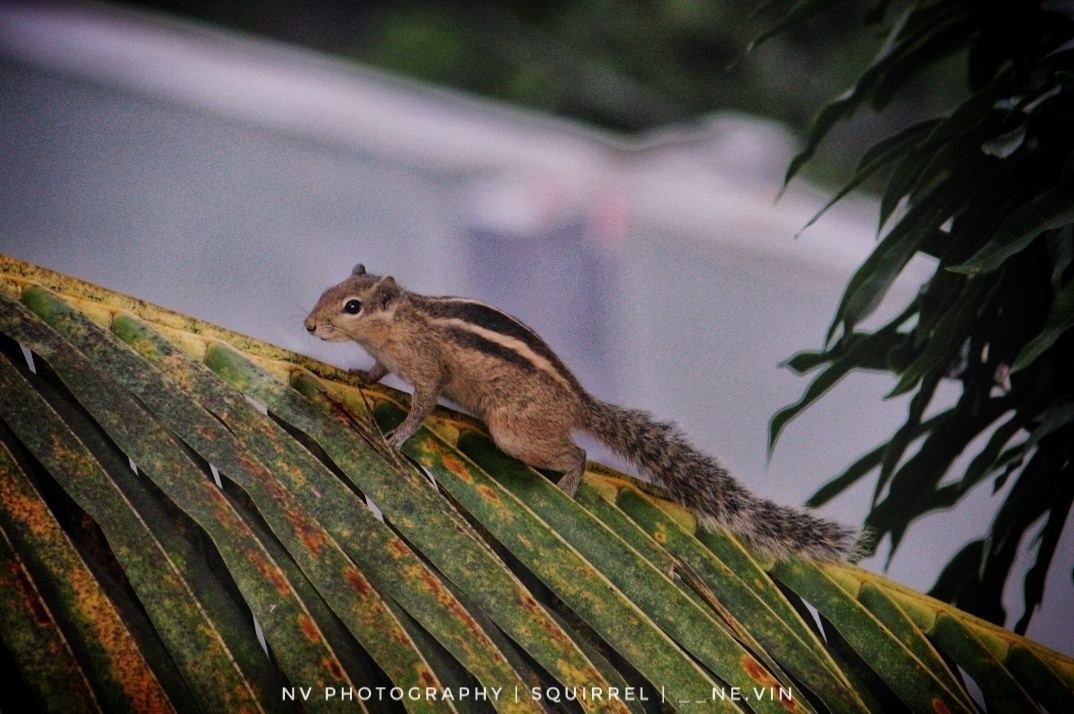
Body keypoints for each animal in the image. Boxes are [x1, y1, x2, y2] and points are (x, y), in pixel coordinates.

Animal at [305, 264, 858, 561]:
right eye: (326, 292)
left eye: (352, 306)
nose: (309, 326)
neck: (397, 325)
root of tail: (579, 402)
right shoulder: (389, 358)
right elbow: (378, 370)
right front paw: (361, 377)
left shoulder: (428, 370)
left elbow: (423, 405)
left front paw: (396, 437)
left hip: (514, 430)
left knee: (577, 453)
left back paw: (569, 483)